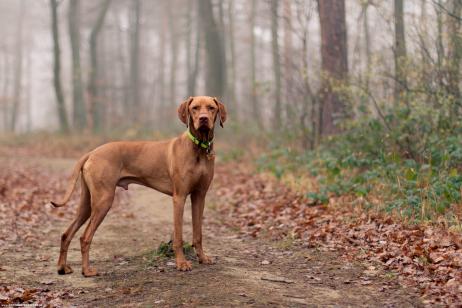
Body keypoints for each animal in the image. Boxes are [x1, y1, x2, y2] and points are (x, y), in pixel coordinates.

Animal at [51, 96, 226, 276]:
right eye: (195, 108)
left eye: (211, 108)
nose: (203, 119)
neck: (199, 148)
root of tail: (91, 152)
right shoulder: (179, 197)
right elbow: (178, 236)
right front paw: (181, 263)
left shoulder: (200, 196)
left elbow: (198, 233)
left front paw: (203, 258)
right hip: (103, 200)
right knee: (85, 237)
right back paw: (86, 270)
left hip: (87, 204)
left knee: (66, 233)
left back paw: (62, 267)